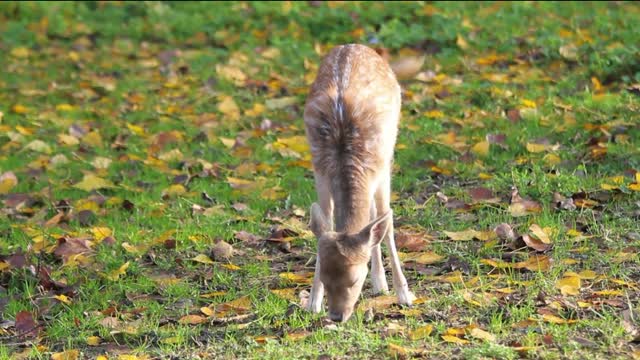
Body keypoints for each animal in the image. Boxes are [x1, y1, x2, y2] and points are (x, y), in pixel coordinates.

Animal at [304, 43, 416, 322]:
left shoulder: (381, 168)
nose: (336, 316)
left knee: (376, 216)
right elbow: (325, 222)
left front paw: (405, 295)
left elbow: (387, 222)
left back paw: (382, 283)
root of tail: (352, 45)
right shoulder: (320, 172)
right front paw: (312, 302)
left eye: (355, 280)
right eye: (325, 277)